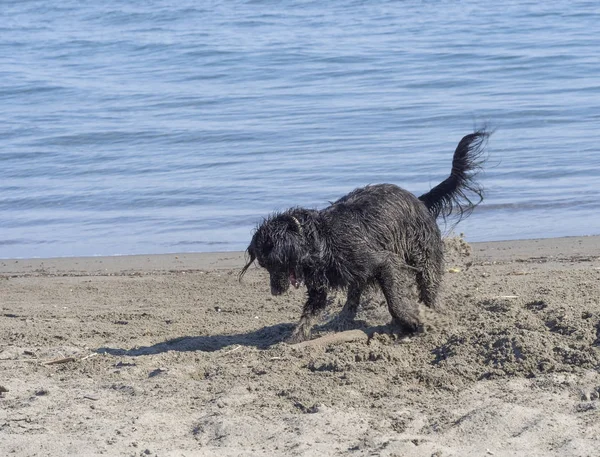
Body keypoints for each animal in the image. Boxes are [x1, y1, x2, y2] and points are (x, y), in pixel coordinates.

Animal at [239, 130, 488, 340]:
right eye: (265, 265)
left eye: (273, 263)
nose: (274, 292)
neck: (318, 239)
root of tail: (420, 200)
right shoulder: (319, 285)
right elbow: (309, 314)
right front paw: (293, 340)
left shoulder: (385, 262)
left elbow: (394, 299)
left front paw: (412, 321)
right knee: (353, 294)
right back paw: (342, 320)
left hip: (423, 254)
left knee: (429, 285)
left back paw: (433, 311)